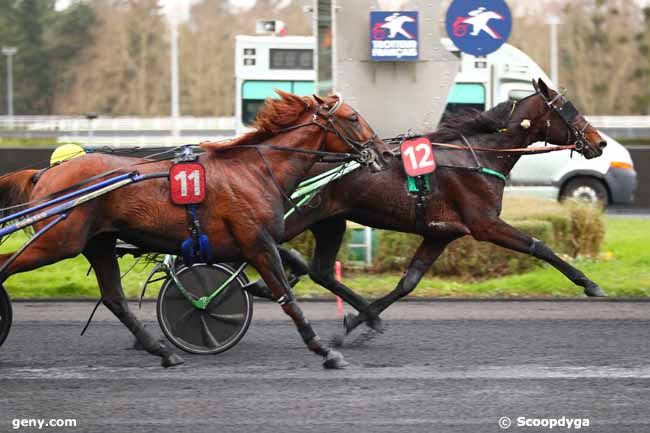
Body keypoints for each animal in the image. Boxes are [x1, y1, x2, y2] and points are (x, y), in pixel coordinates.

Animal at [0, 91, 390, 368]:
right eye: (353, 117)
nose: (384, 153)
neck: (254, 170)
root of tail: (45, 173)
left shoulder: (247, 242)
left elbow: (286, 269)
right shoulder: (257, 242)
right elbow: (288, 299)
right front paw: (325, 350)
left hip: (98, 243)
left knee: (114, 299)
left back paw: (163, 352)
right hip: (58, 241)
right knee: (6, 266)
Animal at [248, 79, 608, 340]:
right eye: (566, 109)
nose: (600, 142)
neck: (478, 156)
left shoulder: (441, 234)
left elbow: (408, 282)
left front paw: (359, 320)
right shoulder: (486, 224)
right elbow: (540, 246)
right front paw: (590, 284)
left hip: (330, 221)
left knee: (320, 270)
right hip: (299, 215)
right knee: (266, 246)